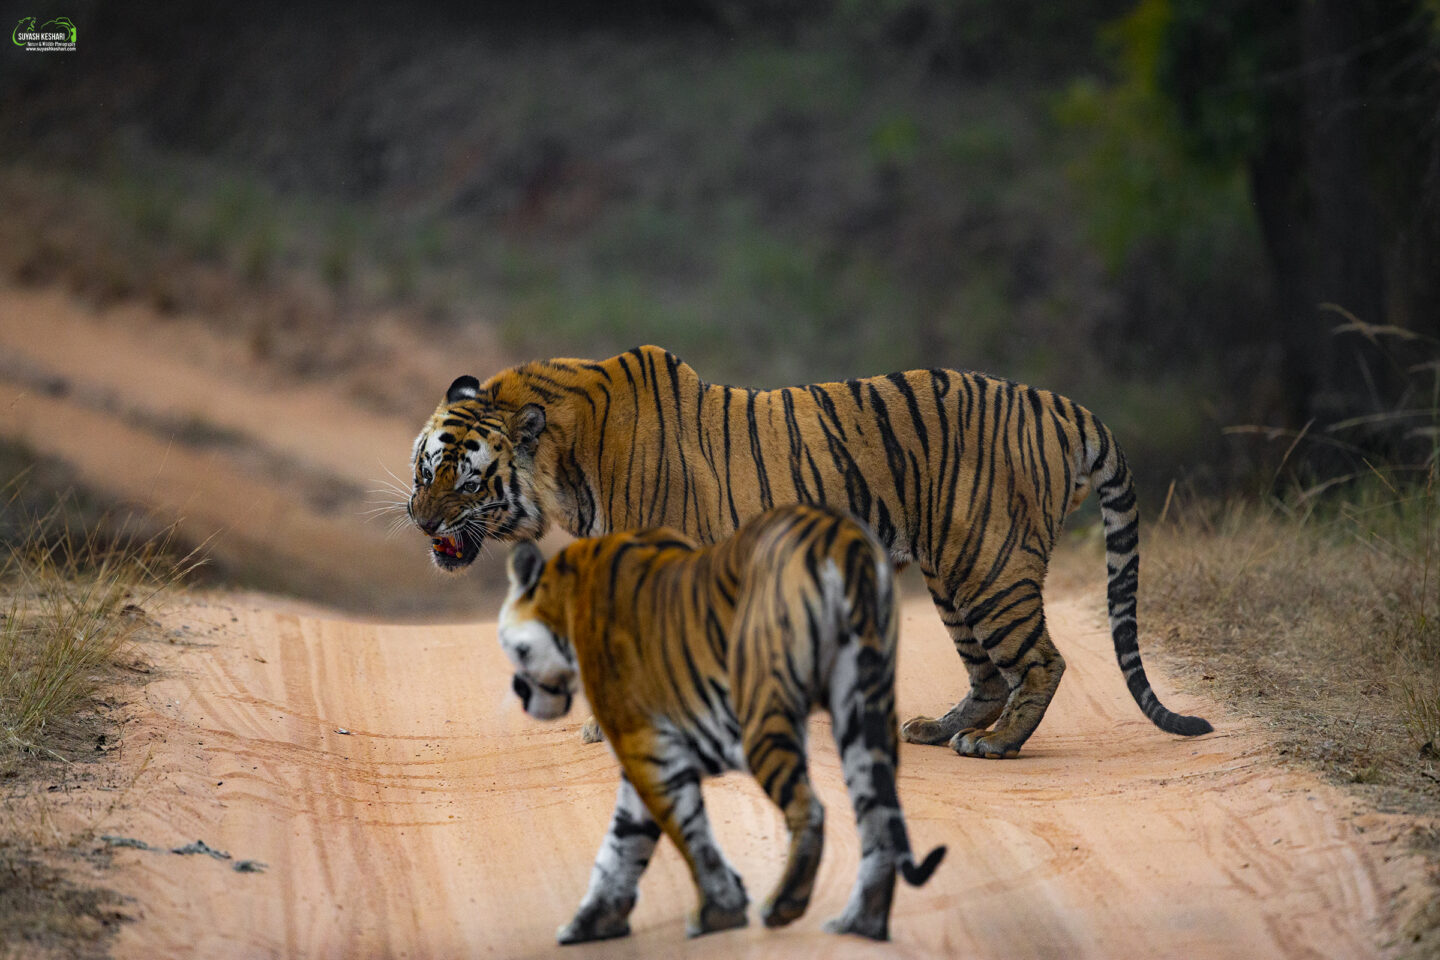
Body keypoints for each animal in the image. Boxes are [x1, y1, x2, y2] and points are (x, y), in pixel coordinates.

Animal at [411, 345, 1209, 759]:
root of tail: (1055, 402)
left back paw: (997, 744)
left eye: (466, 479)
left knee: (1042, 660)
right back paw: (938, 729)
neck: (568, 462)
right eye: (425, 471)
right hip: (952, 576)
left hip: (989, 566)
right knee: (987, 672)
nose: (419, 521)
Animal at [495, 506, 944, 944]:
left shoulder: (644, 743)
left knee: (811, 808)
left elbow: (682, 831)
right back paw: (861, 923)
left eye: (515, 649)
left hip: (764, 711)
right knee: (877, 818)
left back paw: (783, 907)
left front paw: (717, 911)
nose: (519, 691)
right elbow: (624, 840)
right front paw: (595, 922)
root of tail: (840, 540)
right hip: (863, 707)